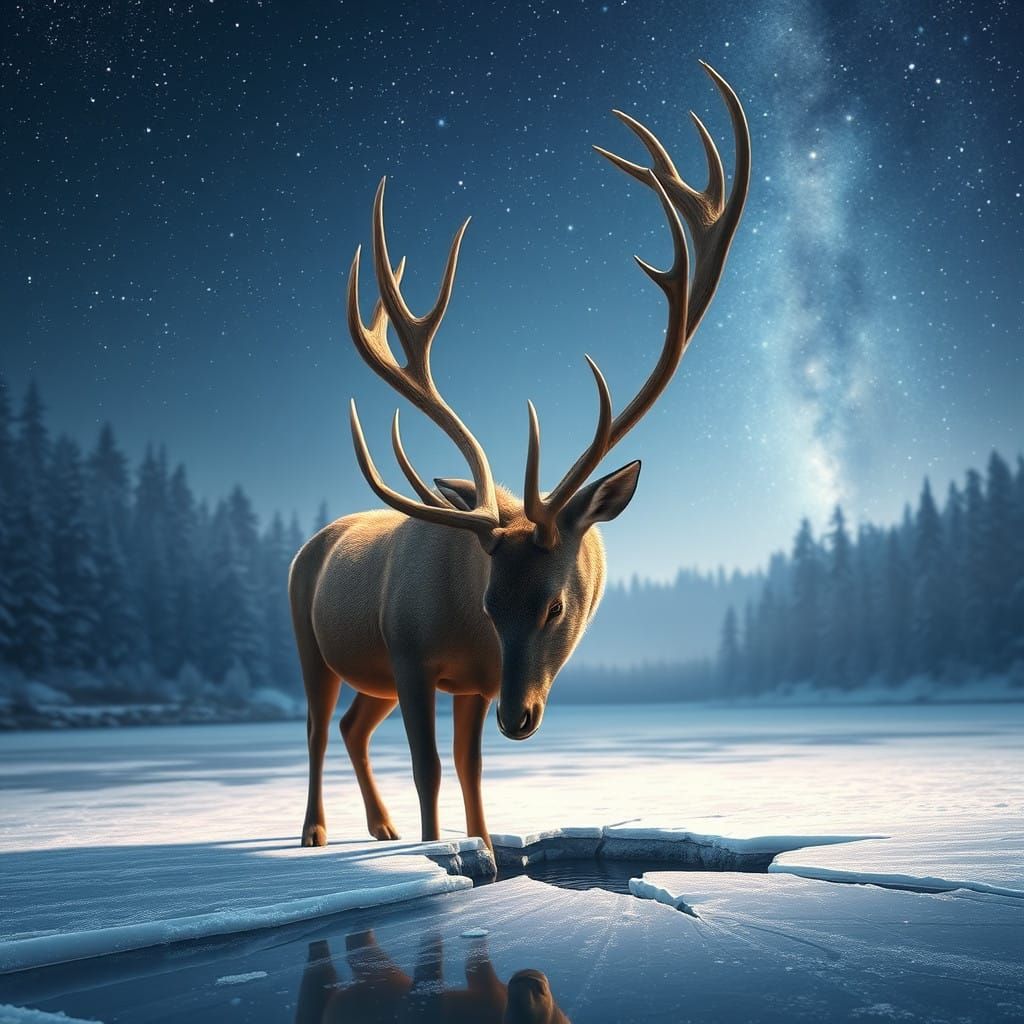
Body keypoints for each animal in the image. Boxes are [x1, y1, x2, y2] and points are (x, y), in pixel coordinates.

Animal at [290, 61, 750, 850]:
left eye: (555, 605)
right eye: (490, 602)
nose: (520, 717)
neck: (465, 625)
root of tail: (312, 542)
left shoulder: (474, 680)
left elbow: (471, 772)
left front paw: (480, 847)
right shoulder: (410, 652)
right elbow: (431, 769)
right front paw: (438, 847)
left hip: (371, 676)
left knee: (352, 725)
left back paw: (379, 826)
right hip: (310, 638)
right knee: (319, 727)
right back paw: (316, 832)